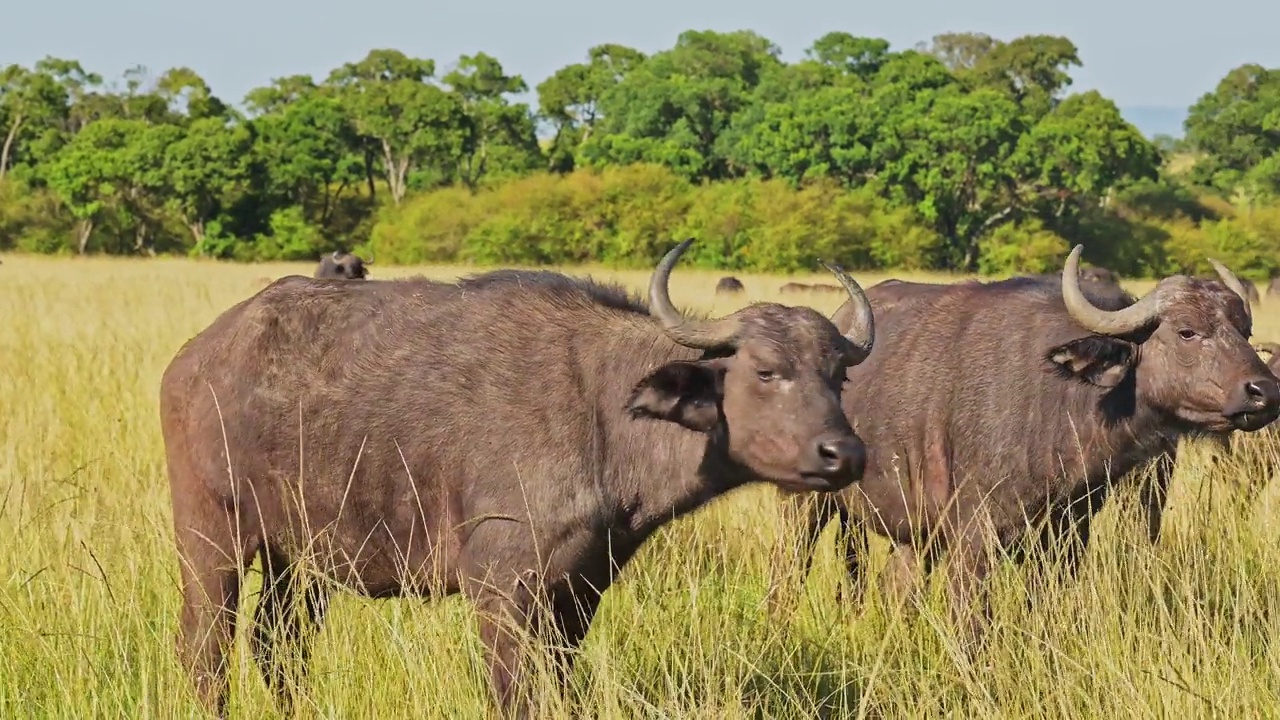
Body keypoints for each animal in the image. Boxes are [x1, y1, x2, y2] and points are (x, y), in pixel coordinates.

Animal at [160, 238, 880, 712]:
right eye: (765, 370)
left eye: (839, 375)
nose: (844, 453)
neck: (602, 410)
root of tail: (195, 359)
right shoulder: (501, 590)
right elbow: (514, 694)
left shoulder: (580, 590)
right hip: (212, 537)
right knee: (206, 647)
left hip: (300, 559)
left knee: (278, 645)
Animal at [768, 244, 1280, 638]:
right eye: (1187, 331)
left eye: (1244, 330)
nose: (1265, 391)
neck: (1064, 400)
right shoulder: (974, 538)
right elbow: (972, 625)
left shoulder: (1067, 536)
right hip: (805, 507)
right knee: (788, 569)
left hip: (911, 533)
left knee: (897, 588)